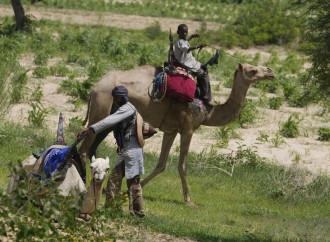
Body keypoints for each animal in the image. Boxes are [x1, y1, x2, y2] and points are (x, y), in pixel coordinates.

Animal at [78, 63, 274, 203]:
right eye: (253, 70)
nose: (270, 71)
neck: (207, 111)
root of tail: (94, 88)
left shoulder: (171, 130)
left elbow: (161, 164)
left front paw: (133, 188)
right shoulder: (188, 129)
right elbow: (182, 165)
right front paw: (188, 200)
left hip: (110, 116)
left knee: (92, 147)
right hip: (102, 106)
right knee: (85, 149)